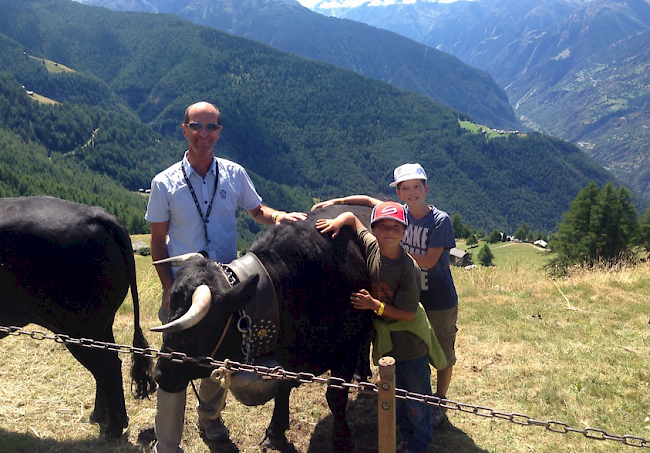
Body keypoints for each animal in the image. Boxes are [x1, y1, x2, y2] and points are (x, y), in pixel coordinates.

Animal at [0, 197, 156, 438]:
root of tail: (100, 214)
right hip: (99, 326)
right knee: (108, 363)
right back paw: (100, 418)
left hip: (78, 326)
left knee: (107, 366)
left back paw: (113, 429)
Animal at [154, 206, 372, 452]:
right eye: (171, 310)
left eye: (196, 333)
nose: (159, 375)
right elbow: (282, 389)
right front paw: (275, 432)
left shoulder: (347, 347)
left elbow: (336, 397)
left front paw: (342, 441)